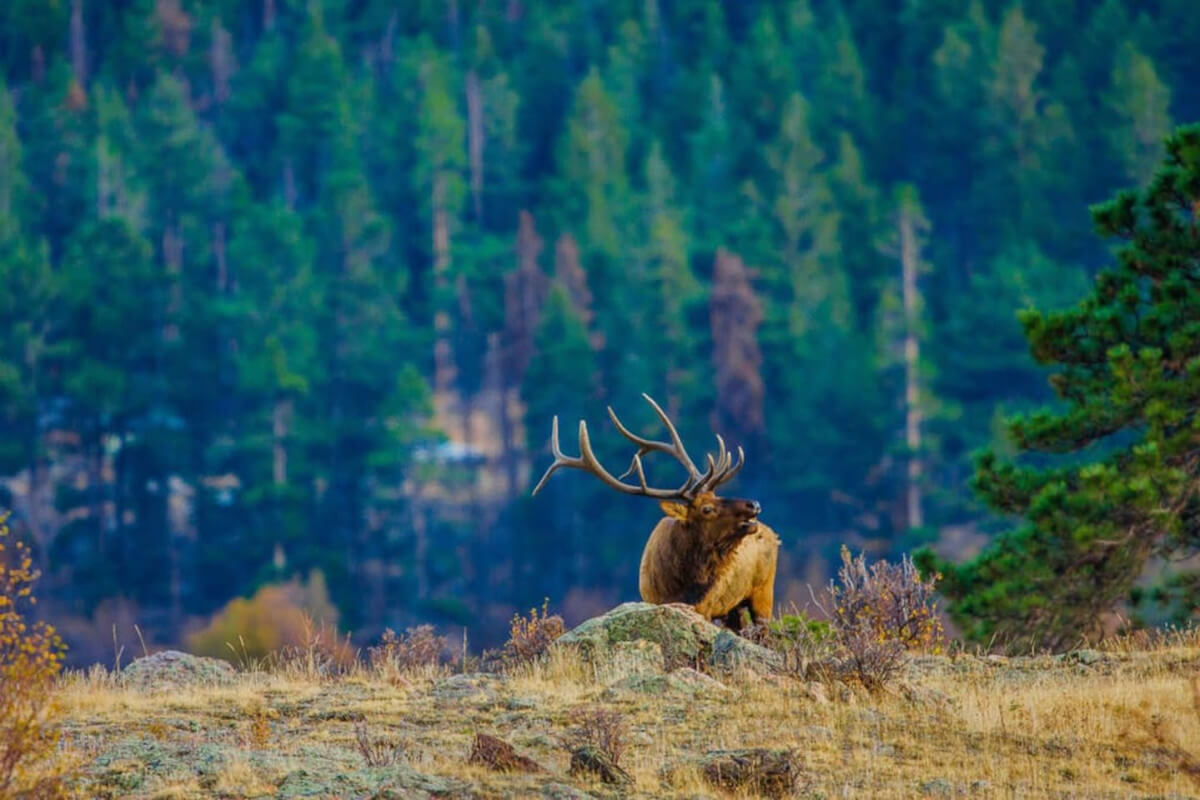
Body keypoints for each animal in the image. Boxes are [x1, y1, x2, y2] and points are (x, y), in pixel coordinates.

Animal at [531, 394, 779, 632]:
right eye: (707, 508)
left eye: (717, 495)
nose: (753, 504)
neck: (680, 585)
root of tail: (775, 536)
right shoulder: (654, 600)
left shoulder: (706, 606)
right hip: (735, 606)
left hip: (763, 592)